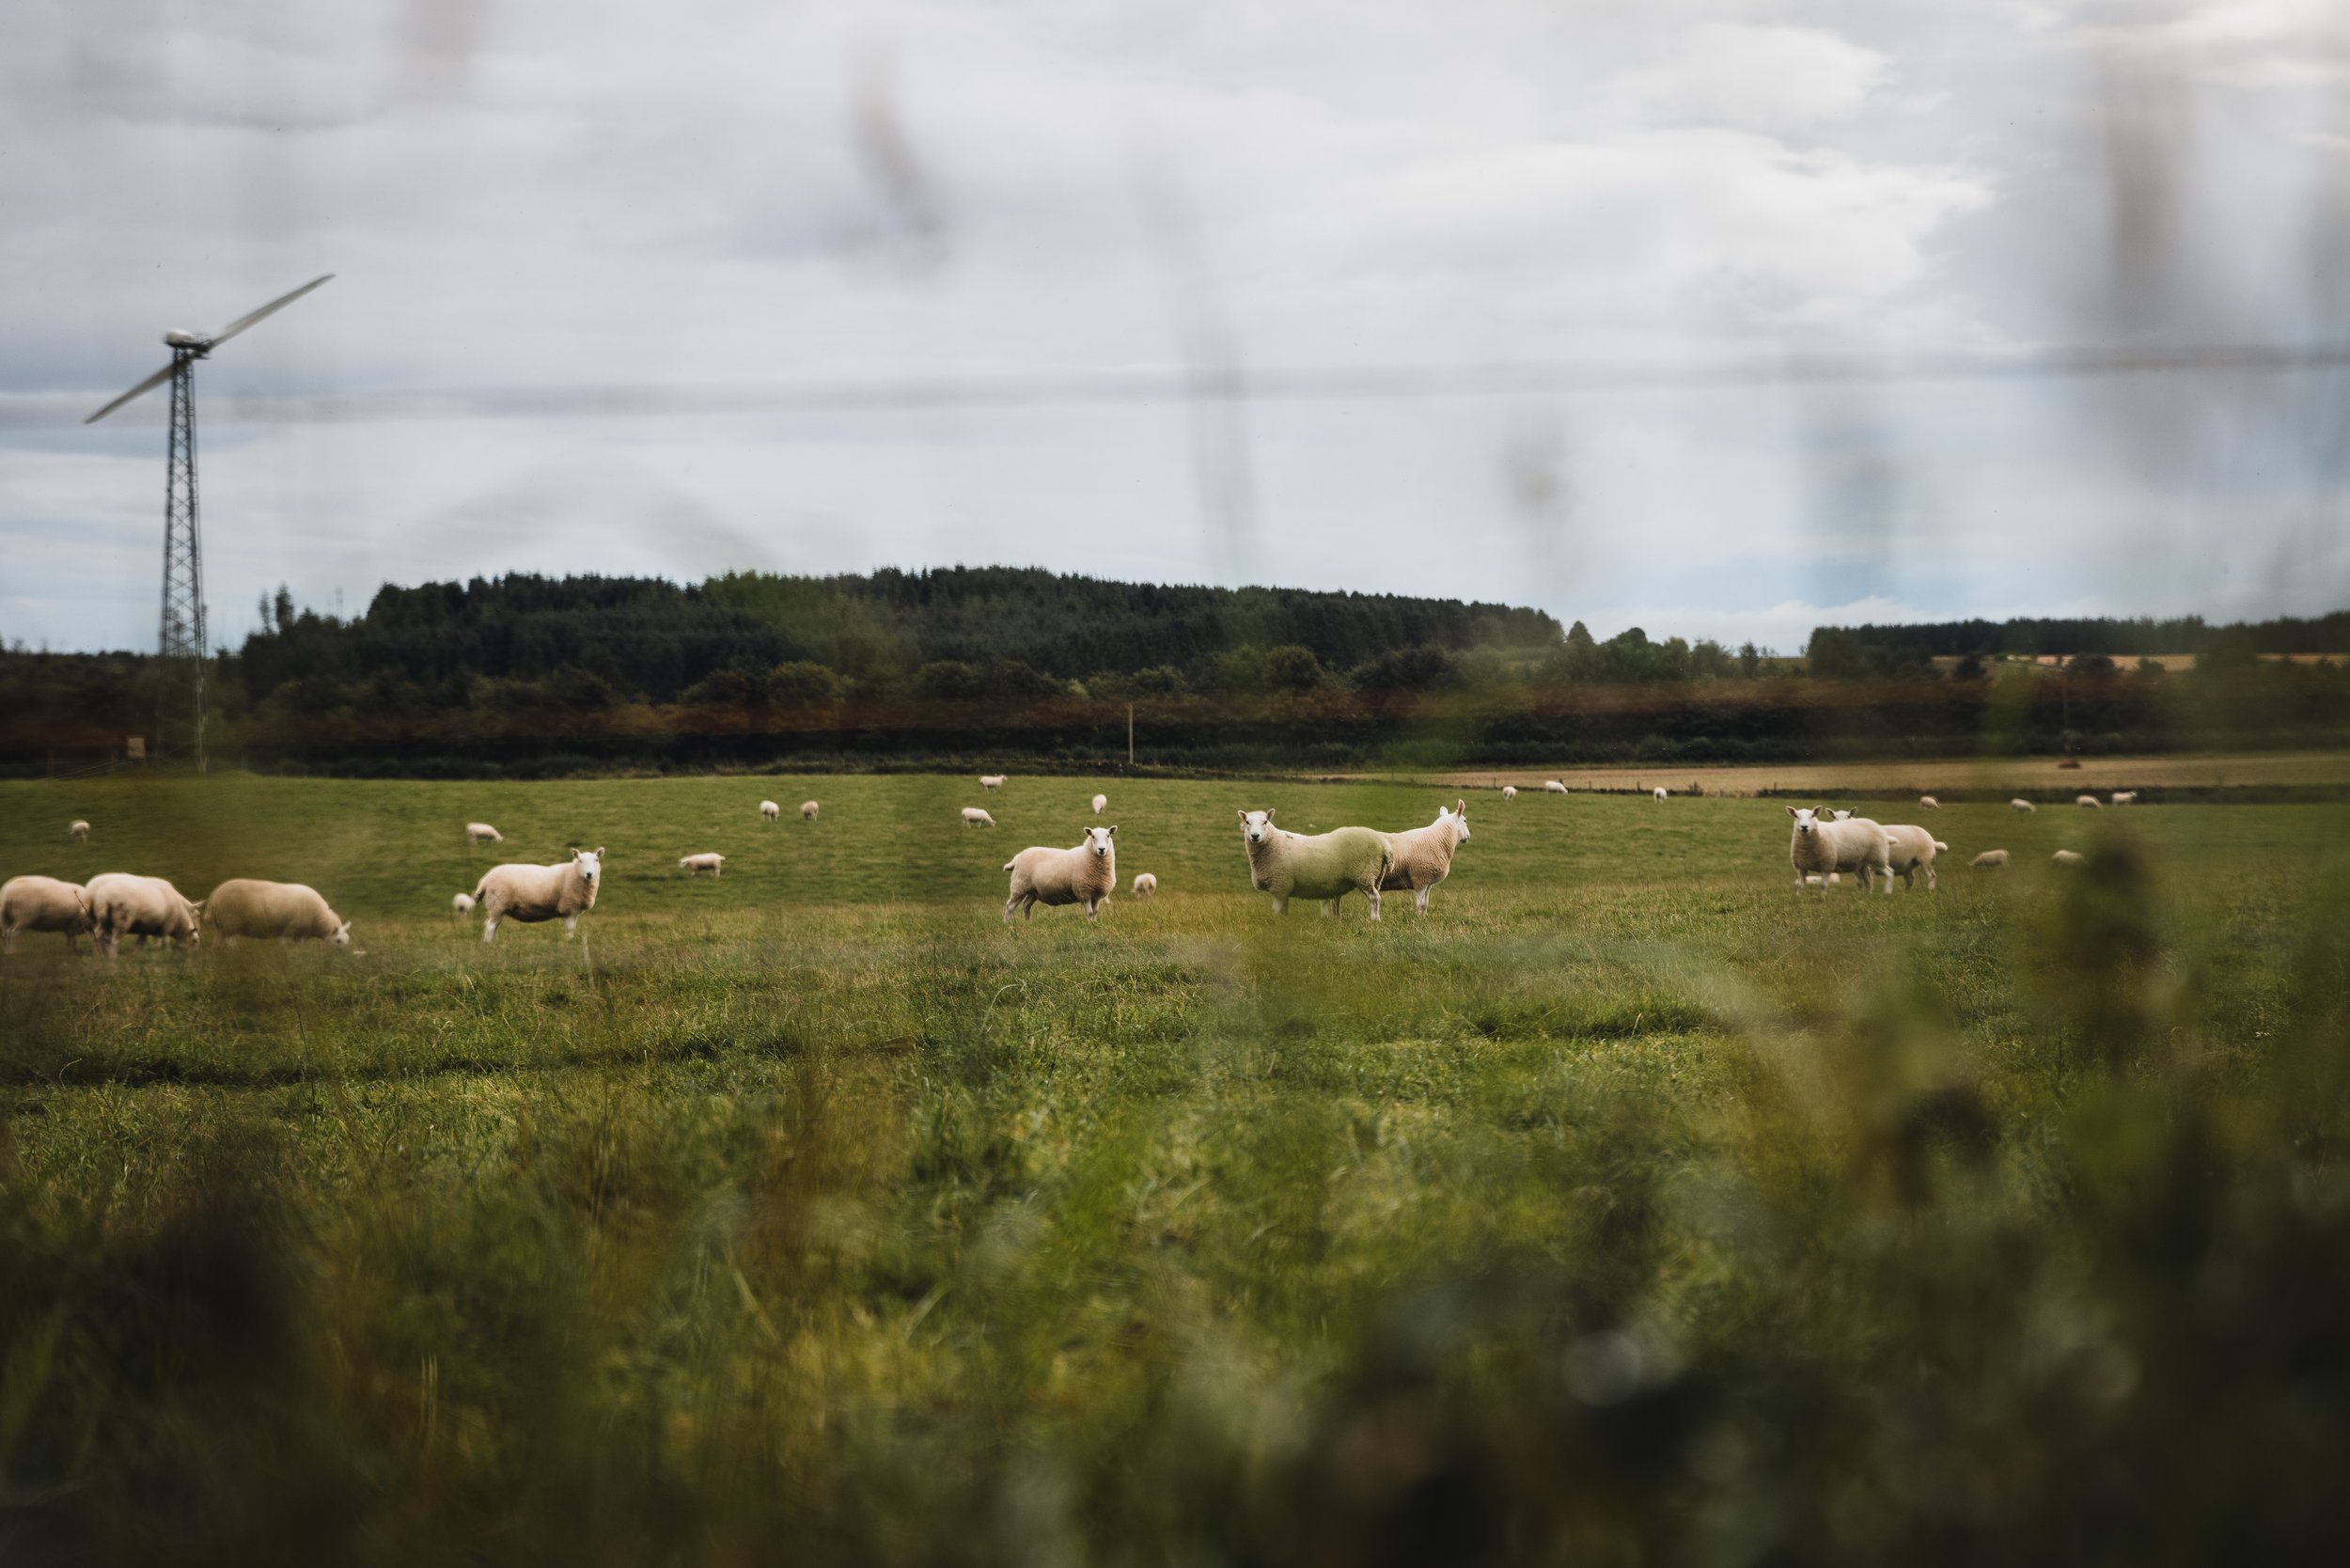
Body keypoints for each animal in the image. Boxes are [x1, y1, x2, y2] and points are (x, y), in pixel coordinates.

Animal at [206, 879, 351, 947]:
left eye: (347, 940)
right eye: (338, 941)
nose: (345, 958)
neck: (319, 918)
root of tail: (214, 896)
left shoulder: (298, 934)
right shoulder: (289, 930)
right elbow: (284, 946)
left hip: (223, 927)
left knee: (217, 945)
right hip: (230, 924)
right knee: (229, 944)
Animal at [471, 848, 602, 943]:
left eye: (596, 860)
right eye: (580, 860)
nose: (589, 874)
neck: (574, 873)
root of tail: (485, 880)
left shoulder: (573, 910)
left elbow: (572, 928)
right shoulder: (568, 908)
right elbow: (570, 929)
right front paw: (569, 942)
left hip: (498, 907)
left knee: (494, 925)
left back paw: (494, 943)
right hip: (497, 903)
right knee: (490, 926)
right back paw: (488, 944)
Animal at [1238, 809, 1395, 919]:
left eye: (1265, 822)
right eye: (1247, 822)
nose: (1255, 836)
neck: (1274, 843)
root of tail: (1384, 845)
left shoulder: (1280, 884)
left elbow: (1277, 910)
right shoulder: (1284, 887)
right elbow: (1284, 910)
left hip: (1364, 873)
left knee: (1374, 898)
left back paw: (1374, 920)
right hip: (1376, 875)